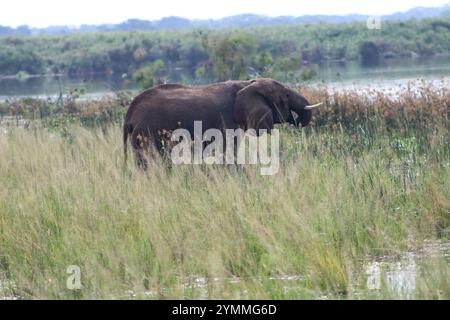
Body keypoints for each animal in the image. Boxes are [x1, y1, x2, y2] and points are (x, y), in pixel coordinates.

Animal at [121, 78, 322, 166]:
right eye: (286, 96)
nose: (297, 120)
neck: (247, 84)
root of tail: (130, 113)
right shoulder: (228, 123)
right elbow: (228, 151)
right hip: (146, 133)